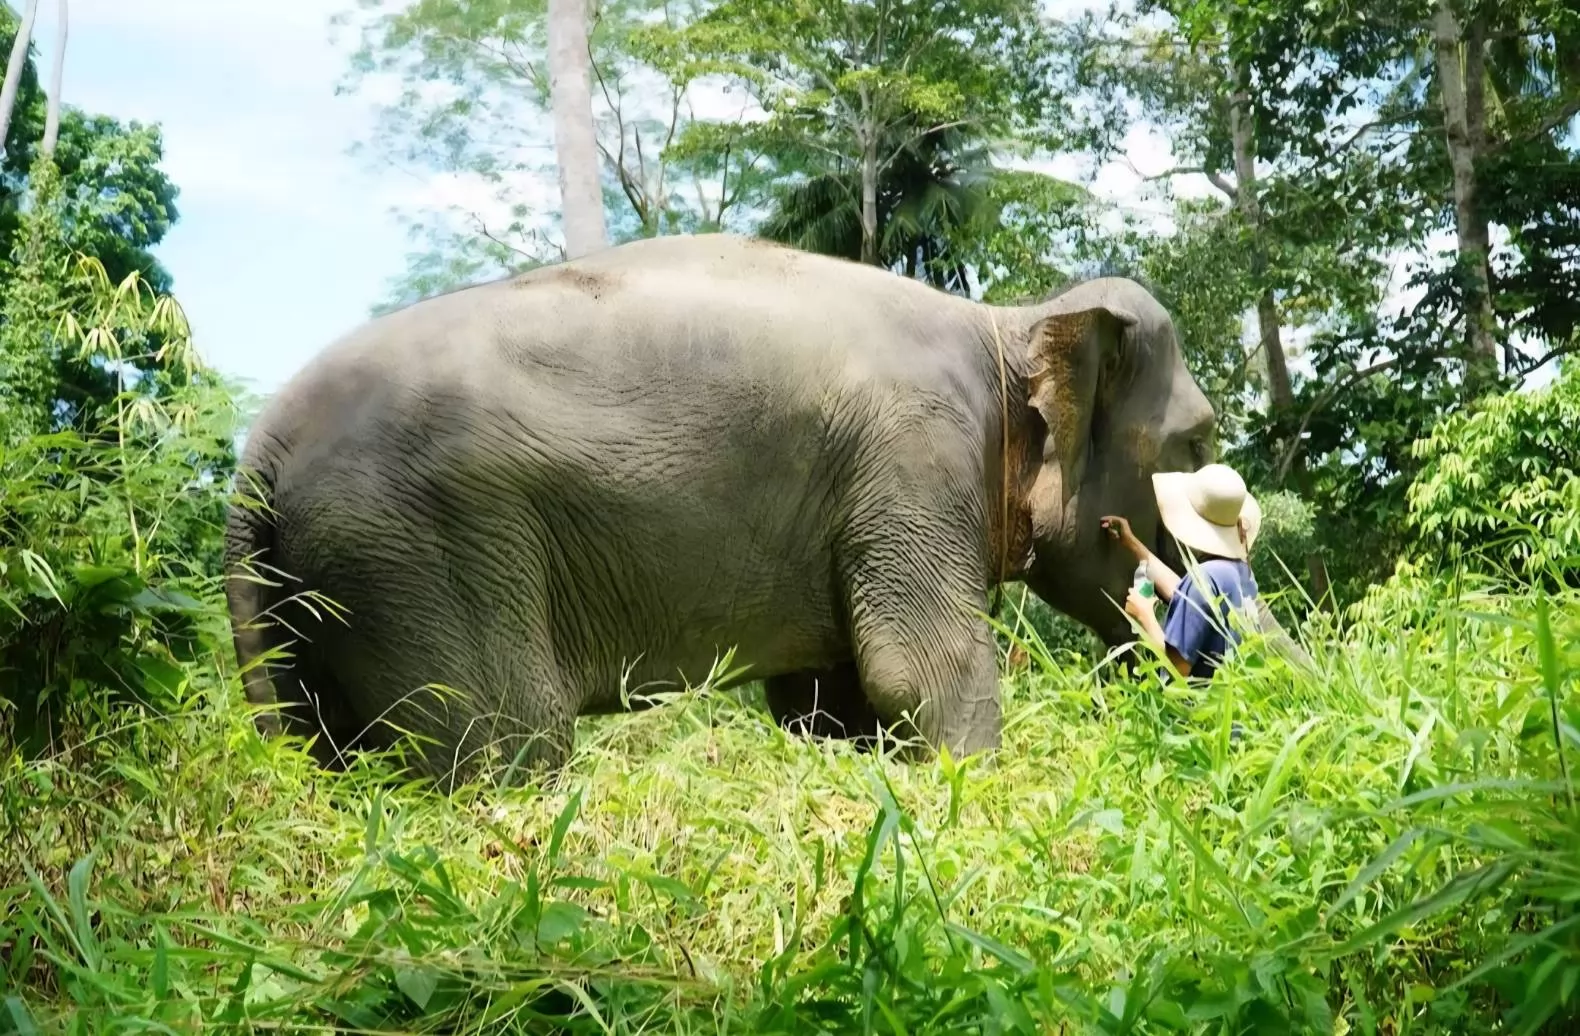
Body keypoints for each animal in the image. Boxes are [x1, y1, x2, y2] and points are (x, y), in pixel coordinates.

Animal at [224, 233, 1215, 787]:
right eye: (1197, 447)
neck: (1003, 324)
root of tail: (258, 452)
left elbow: (831, 703)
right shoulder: (911, 461)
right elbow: (921, 672)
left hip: (320, 592)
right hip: (422, 554)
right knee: (509, 742)